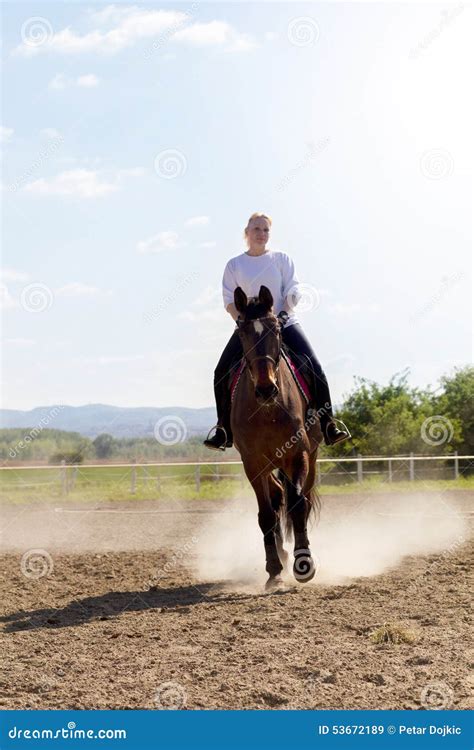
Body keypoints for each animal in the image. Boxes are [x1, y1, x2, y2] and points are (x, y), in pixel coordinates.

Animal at [230, 284, 323, 590]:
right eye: (242, 332)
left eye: (276, 330)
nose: (265, 388)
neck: (269, 409)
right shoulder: (253, 463)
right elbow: (267, 514)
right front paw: (274, 571)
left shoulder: (298, 454)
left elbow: (297, 505)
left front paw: (303, 563)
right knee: (277, 495)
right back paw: (281, 554)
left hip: (311, 459)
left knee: (301, 499)